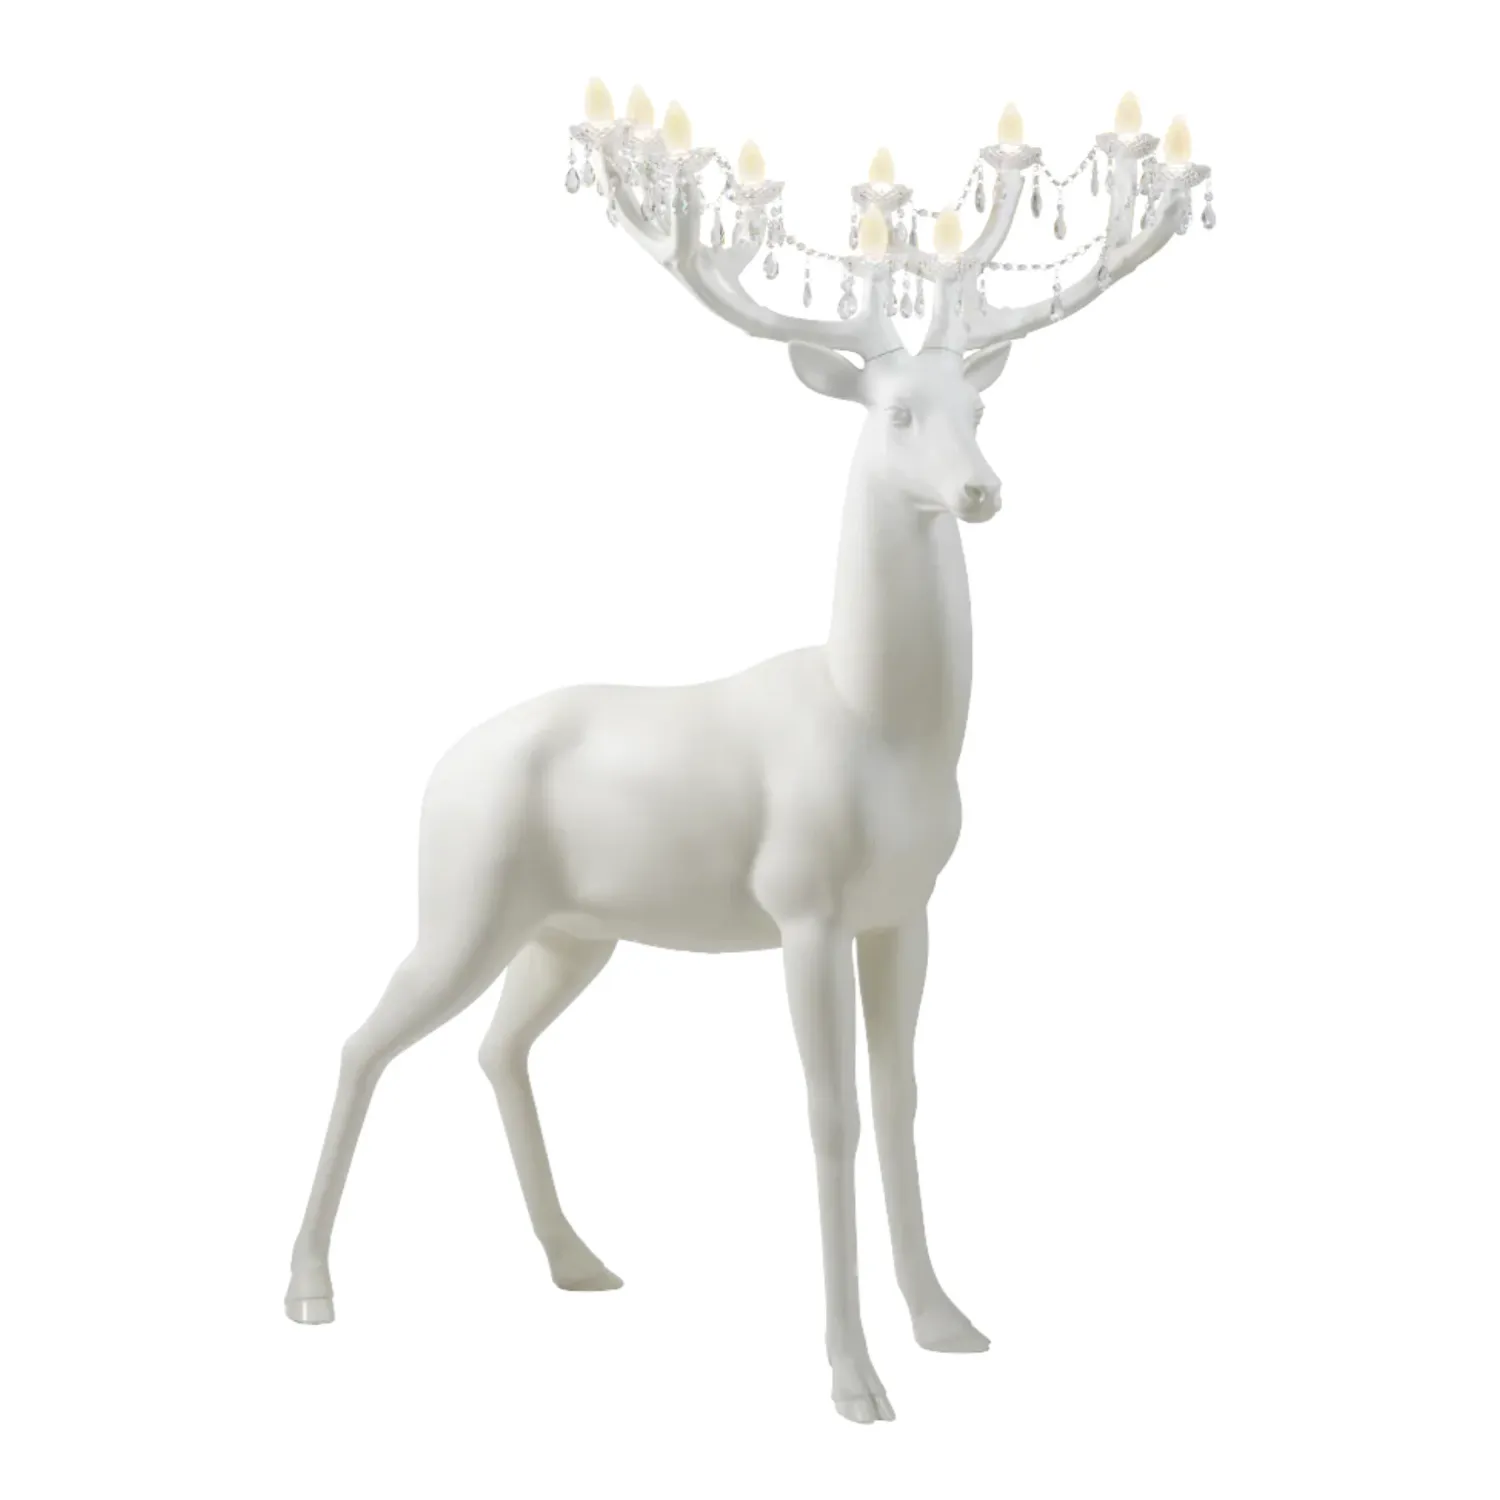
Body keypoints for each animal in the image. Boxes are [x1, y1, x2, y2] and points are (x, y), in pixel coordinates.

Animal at [284, 121, 1193, 1424]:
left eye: (976, 403)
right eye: (895, 413)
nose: (981, 491)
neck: (883, 726)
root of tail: (437, 768)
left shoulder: (907, 911)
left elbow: (903, 1096)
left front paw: (947, 1322)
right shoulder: (802, 905)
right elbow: (830, 1113)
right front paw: (855, 1379)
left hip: (570, 930)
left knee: (497, 1047)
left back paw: (578, 1259)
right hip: (459, 902)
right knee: (363, 1040)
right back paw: (309, 1286)